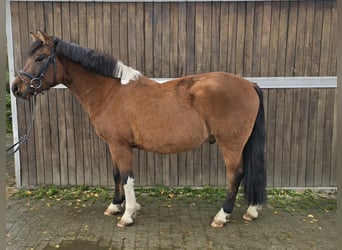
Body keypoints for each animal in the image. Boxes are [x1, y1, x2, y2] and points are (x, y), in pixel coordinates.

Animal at [12, 30, 266, 228]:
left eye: (40, 58)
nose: (15, 88)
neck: (109, 92)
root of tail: (249, 84)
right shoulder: (113, 145)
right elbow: (116, 175)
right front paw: (115, 206)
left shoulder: (120, 146)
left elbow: (127, 177)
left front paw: (128, 214)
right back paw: (252, 210)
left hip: (230, 144)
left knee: (235, 174)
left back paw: (222, 215)